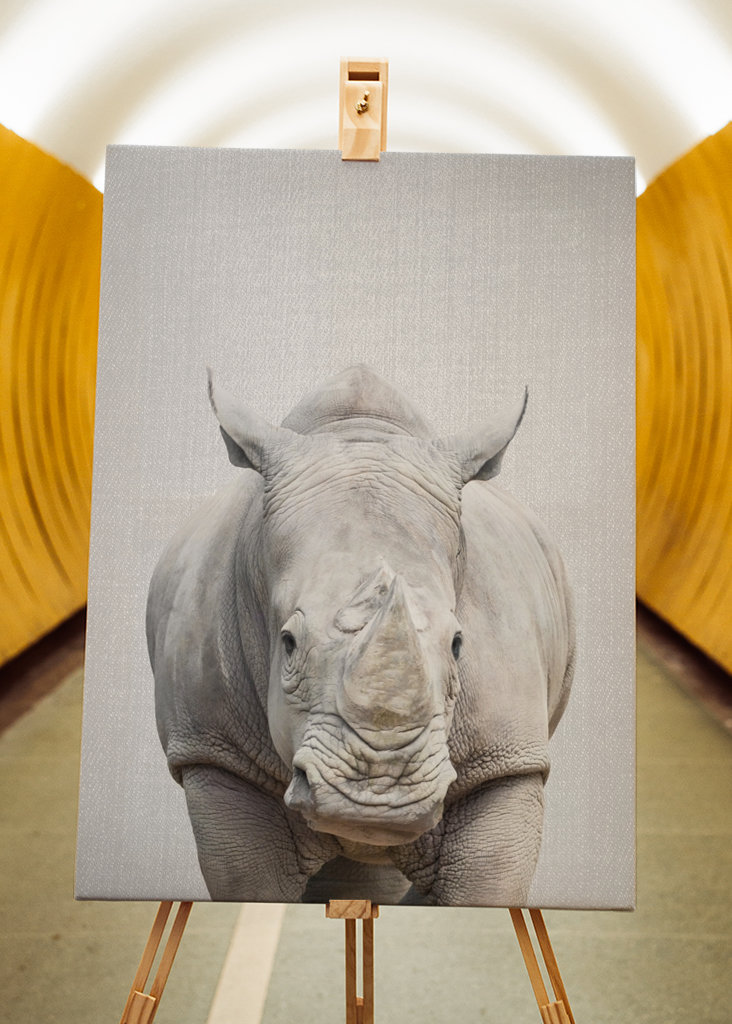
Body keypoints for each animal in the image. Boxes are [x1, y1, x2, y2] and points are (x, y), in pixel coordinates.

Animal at [147, 365, 575, 906]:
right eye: (287, 643)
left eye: (458, 645)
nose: (376, 797)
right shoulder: (214, 750)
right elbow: (251, 884)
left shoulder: (506, 762)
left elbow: (484, 887)